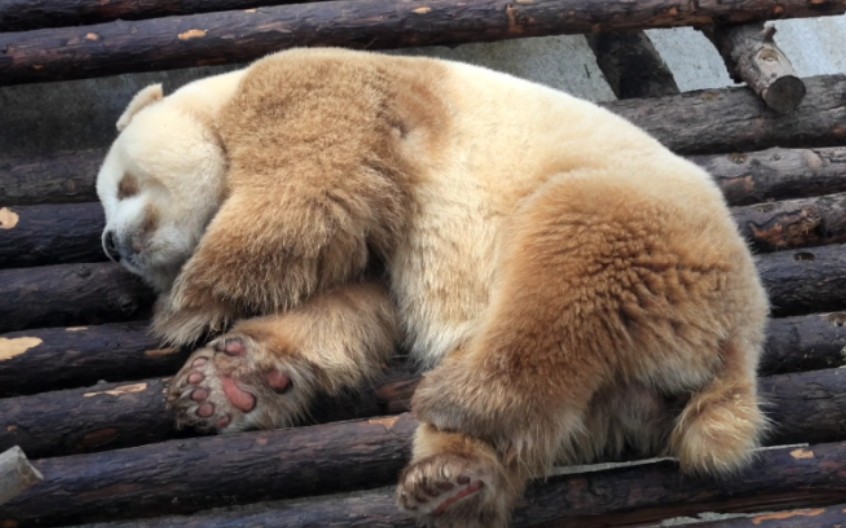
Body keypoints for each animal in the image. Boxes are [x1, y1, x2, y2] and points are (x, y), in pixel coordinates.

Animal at [96, 47, 769, 527]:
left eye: (124, 187)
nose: (110, 243)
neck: (221, 99)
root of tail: (736, 343)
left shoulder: (320, 89)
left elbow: (313, 184)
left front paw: (186, 305)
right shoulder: (384, 245)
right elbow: (356, 301)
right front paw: (228, 384)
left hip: (648, 228)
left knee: (567, 263)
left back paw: (459, 398)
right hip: (616, 390)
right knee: (560, 411)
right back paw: (452, 478)